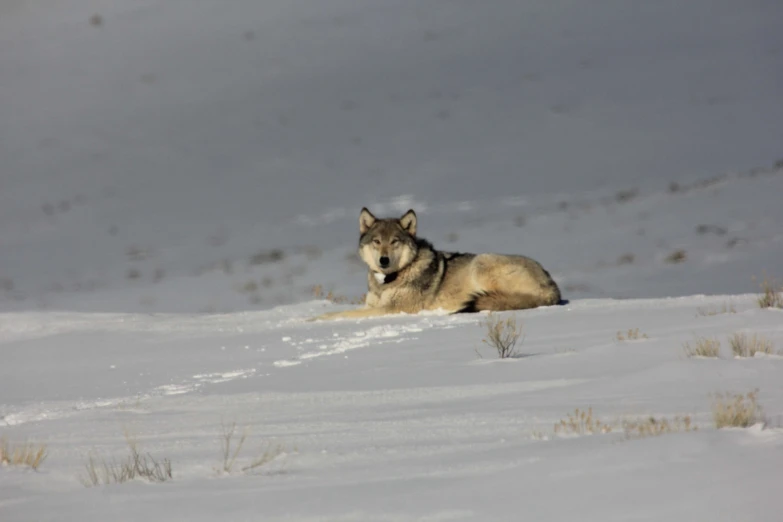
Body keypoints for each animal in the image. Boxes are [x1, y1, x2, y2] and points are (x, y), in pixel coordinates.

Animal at [312, 206, 564, 318]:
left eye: (394, 242)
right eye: (376, 241)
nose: (384, 260)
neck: (392, 278)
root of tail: (553, 288)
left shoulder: (393, 309)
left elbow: (336, 315)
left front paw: (310, 319)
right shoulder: (372, 306)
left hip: (482, 262)